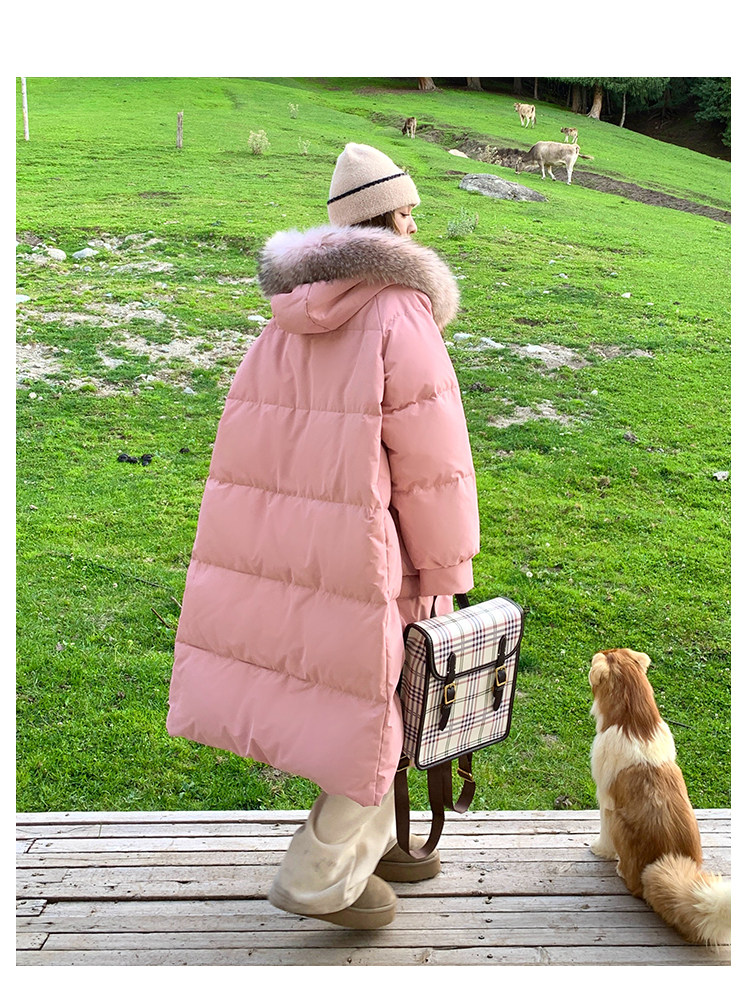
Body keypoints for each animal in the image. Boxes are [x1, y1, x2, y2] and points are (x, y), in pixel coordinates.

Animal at [588, 648, 730, 946]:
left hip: (619, 823)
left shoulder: (605, 801)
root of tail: (667, 860)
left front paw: (599, 850)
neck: (634, 723)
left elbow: (603, 837)